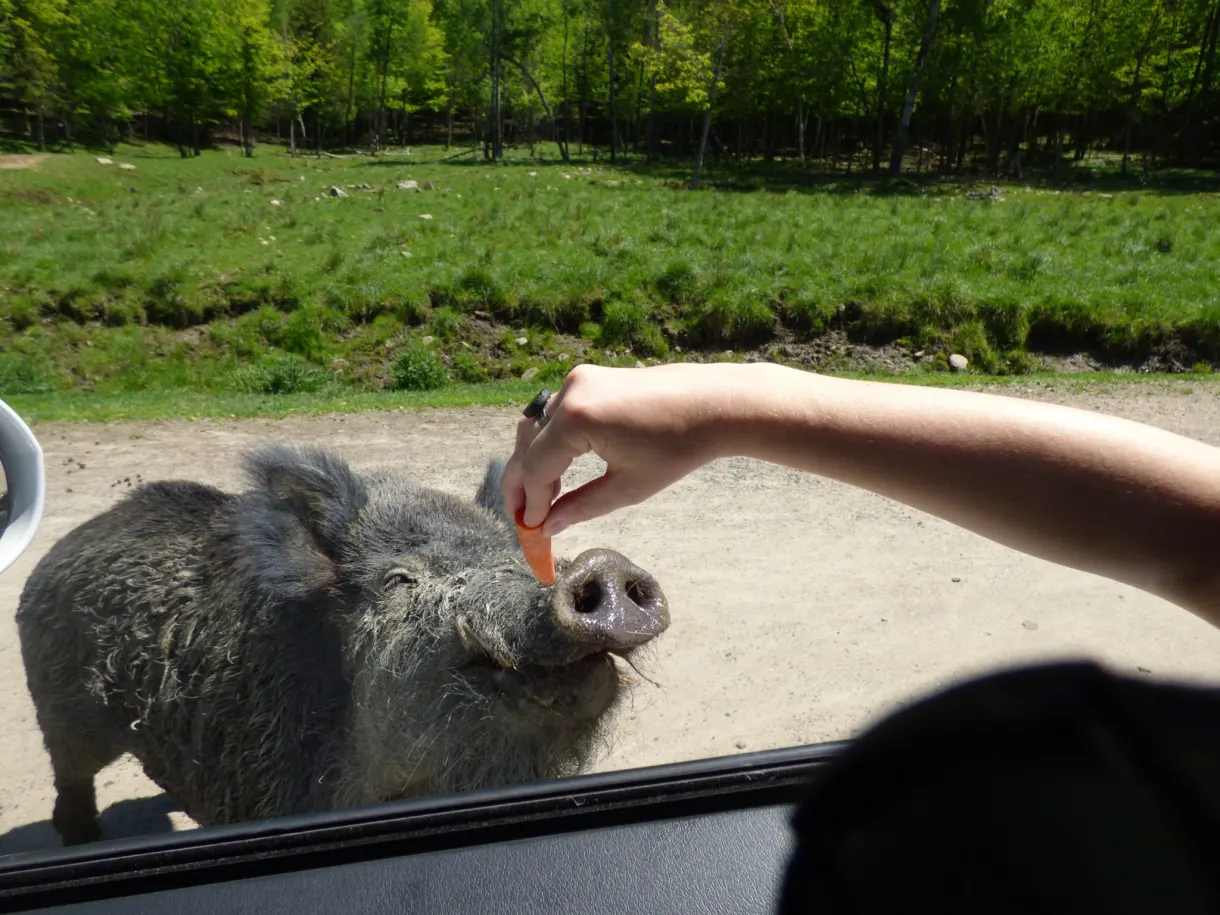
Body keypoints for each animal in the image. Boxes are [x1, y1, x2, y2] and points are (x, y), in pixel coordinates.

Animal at [16, 445, 669, 846]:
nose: (598, 564)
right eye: (399, 581)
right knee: (69, 773)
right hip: (59, 703)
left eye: (516, 562)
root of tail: (78, 536)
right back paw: (80, 838)